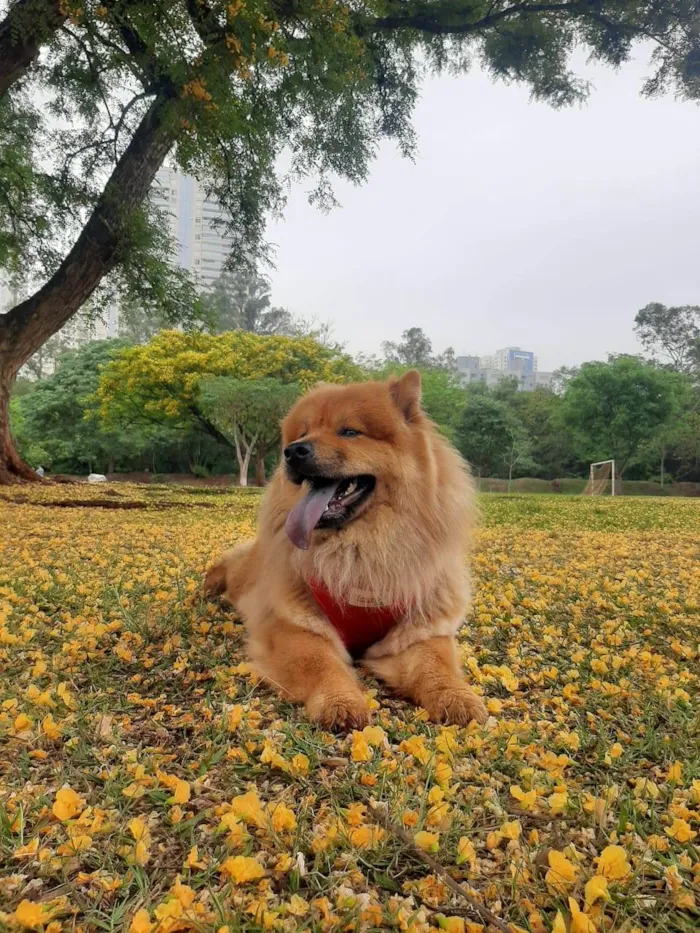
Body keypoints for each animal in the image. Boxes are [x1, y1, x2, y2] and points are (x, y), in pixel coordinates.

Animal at [202, 370, 486, 728]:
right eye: (304, 433)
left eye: (349, 432)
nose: (293, 451)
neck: (359, 552)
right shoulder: (297, 626)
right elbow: (322, 664)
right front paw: (340, 702)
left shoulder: (418, 631)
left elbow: (436, 666)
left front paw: (457, 697)